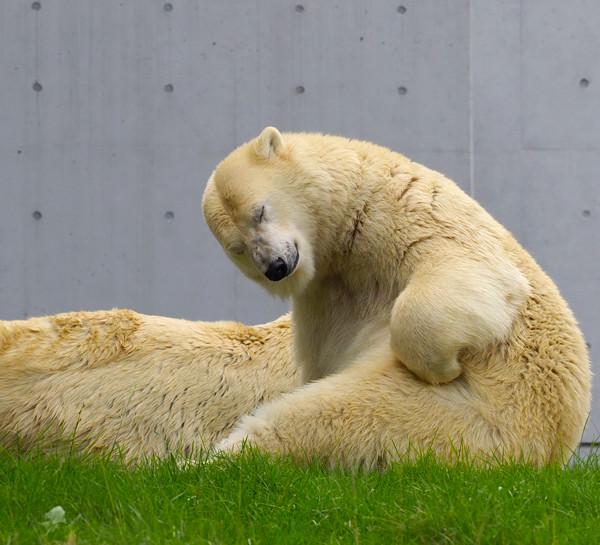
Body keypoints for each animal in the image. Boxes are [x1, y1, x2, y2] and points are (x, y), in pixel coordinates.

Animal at [202, 125, 592, 466]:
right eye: (237, 248)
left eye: (259, 211)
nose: (276, 266)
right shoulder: (326, 291)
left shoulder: (401, 210)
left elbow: (470, 270)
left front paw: (444, 367)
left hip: (469, 419)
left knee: (333, 413)